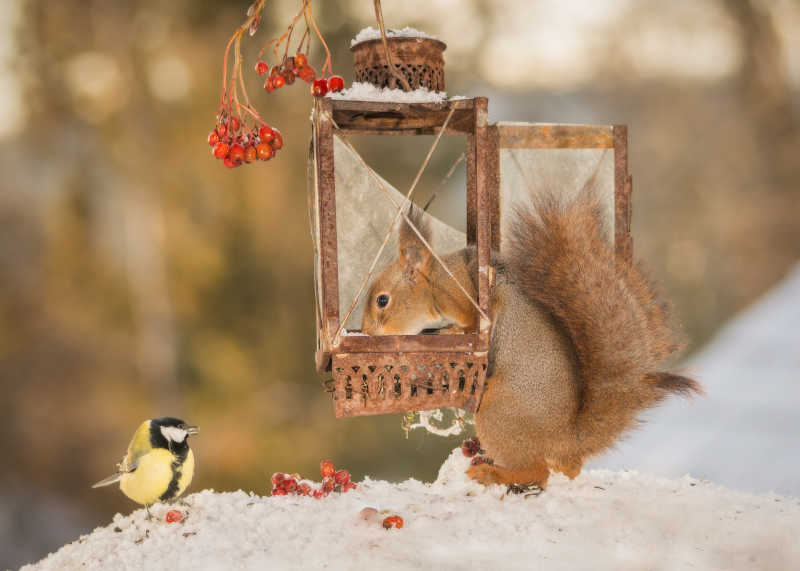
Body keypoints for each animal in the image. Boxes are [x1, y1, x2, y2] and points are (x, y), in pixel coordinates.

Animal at [360, 190, 700, 490]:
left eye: (382, 300)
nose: (366, 331)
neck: (435, 283)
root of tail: (564, 438)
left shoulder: (463, 296)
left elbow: (473, 322)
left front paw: (454, 333)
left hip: (498, 416)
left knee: (538, 472)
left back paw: (493, 474)